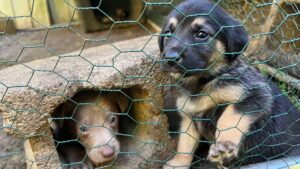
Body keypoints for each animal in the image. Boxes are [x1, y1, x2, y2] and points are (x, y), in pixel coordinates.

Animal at [159, 0, 300, 168]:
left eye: (201, 34)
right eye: (168, 33)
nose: (169, 58)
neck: (203, 81)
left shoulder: (255, 94)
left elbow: (229, 118)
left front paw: (224, 146)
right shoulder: (188, 116)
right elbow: (185, 143)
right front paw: (179, 163)